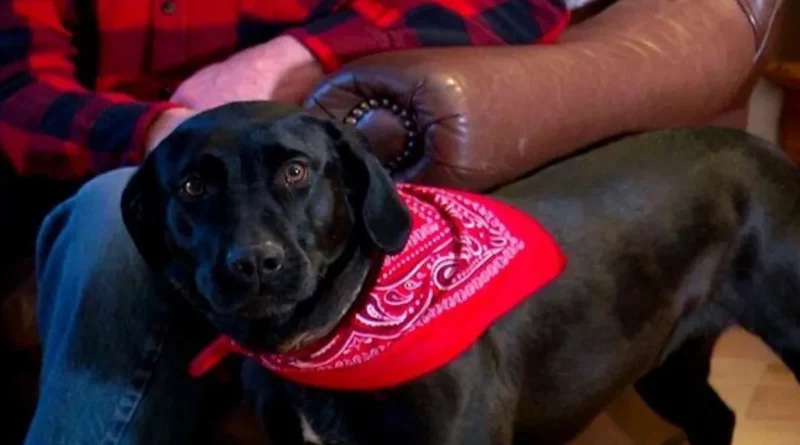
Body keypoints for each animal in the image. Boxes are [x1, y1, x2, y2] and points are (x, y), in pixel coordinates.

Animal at [122, 100, 800, 444]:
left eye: (296, 171)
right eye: (192, 187)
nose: (255, 262)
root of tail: (765, 147)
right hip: (664, 360)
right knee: (717, 419)